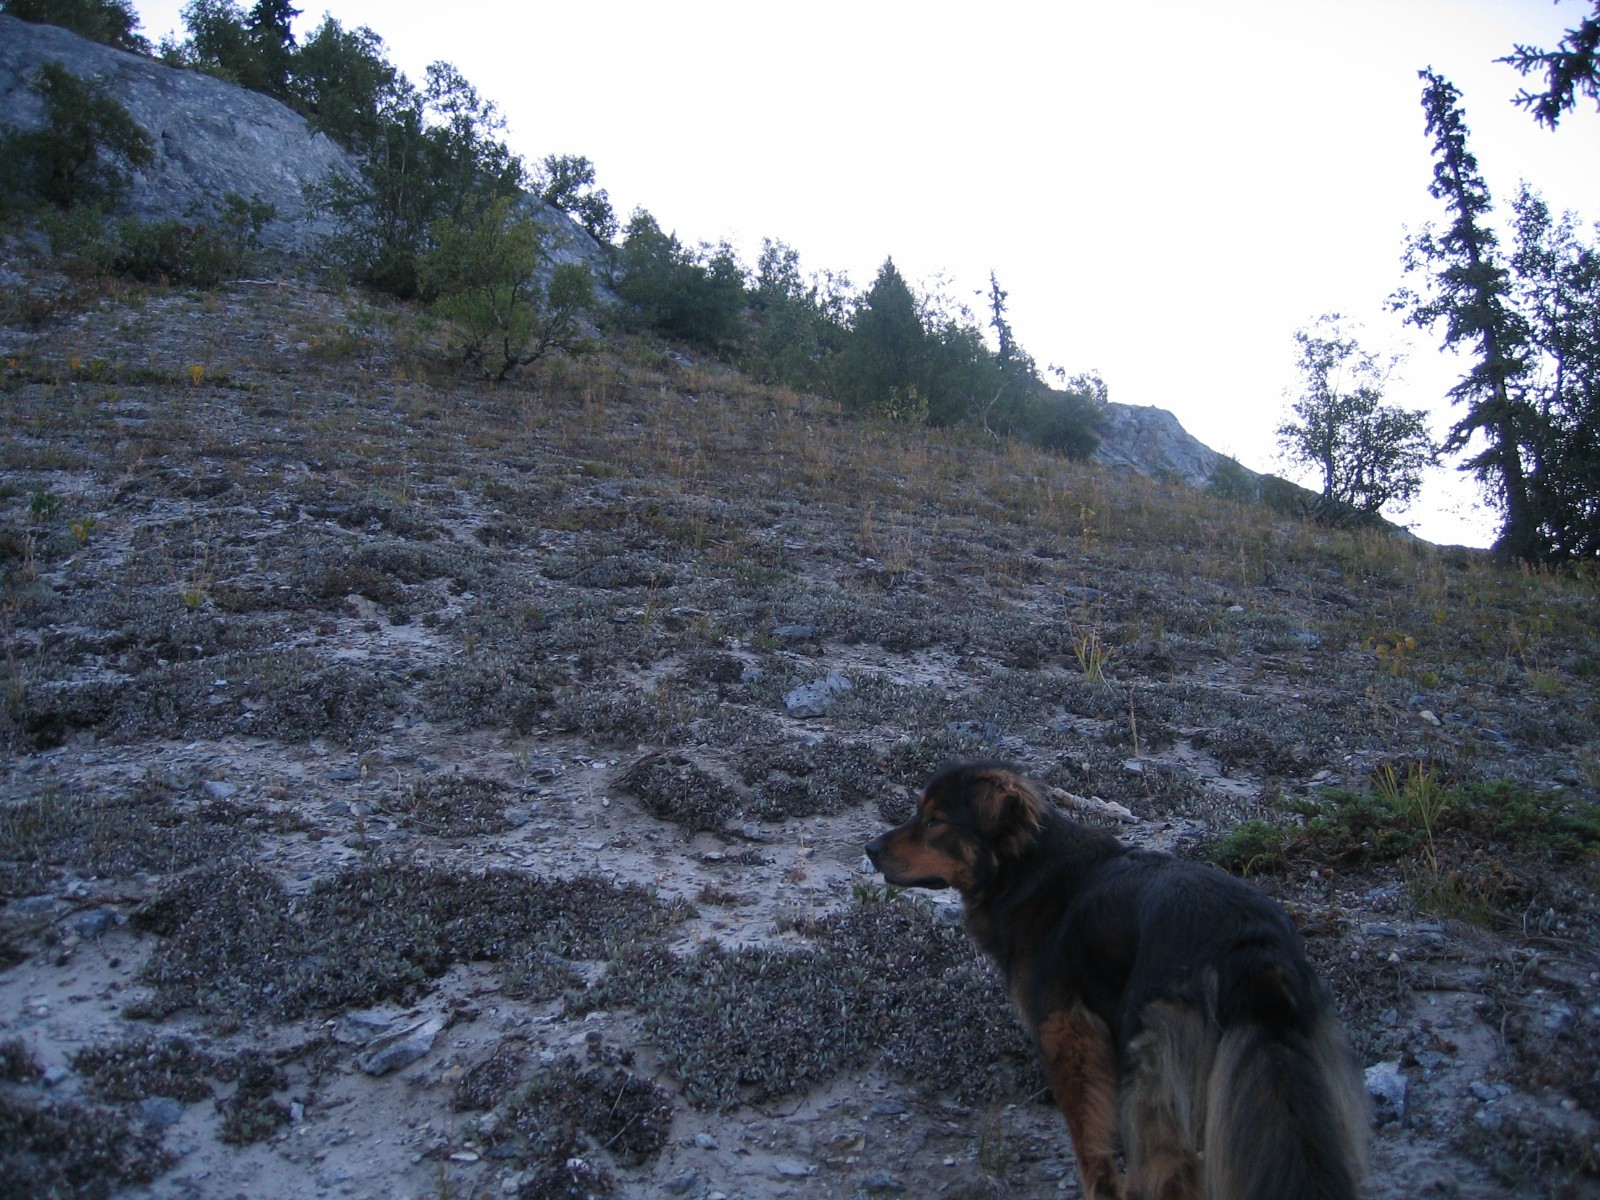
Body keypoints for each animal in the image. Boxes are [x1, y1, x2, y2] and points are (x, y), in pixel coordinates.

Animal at [870, 764, 1369, 1200]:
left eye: (935, 821)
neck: (1024, 871)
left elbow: (1090, 1146)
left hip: (1151, 1083)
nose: (871, 849)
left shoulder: (1068, 1031)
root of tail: (1247, 947)